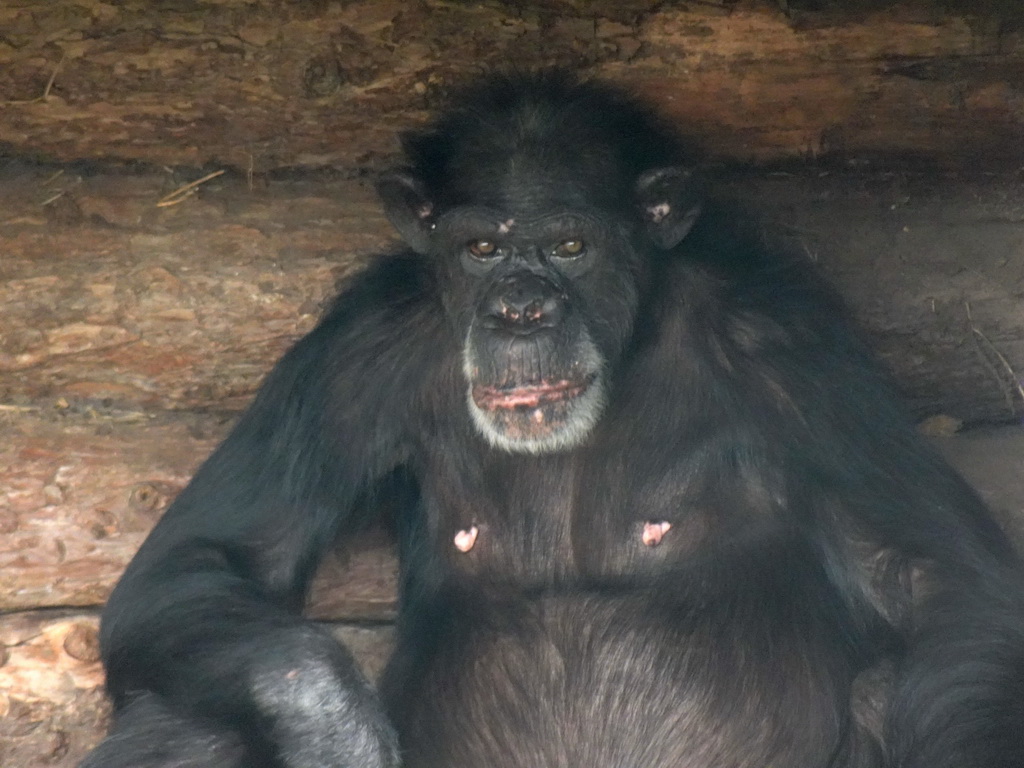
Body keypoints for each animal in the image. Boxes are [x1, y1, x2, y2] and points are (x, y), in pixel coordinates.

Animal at [79, 72, 1024, 768]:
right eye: (482, 249)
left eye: (570, 245)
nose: (521, 310)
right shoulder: (356, 350)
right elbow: (207, 560)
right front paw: (330, 726)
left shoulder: (796, 351)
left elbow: (941, 583)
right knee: (192, 719)